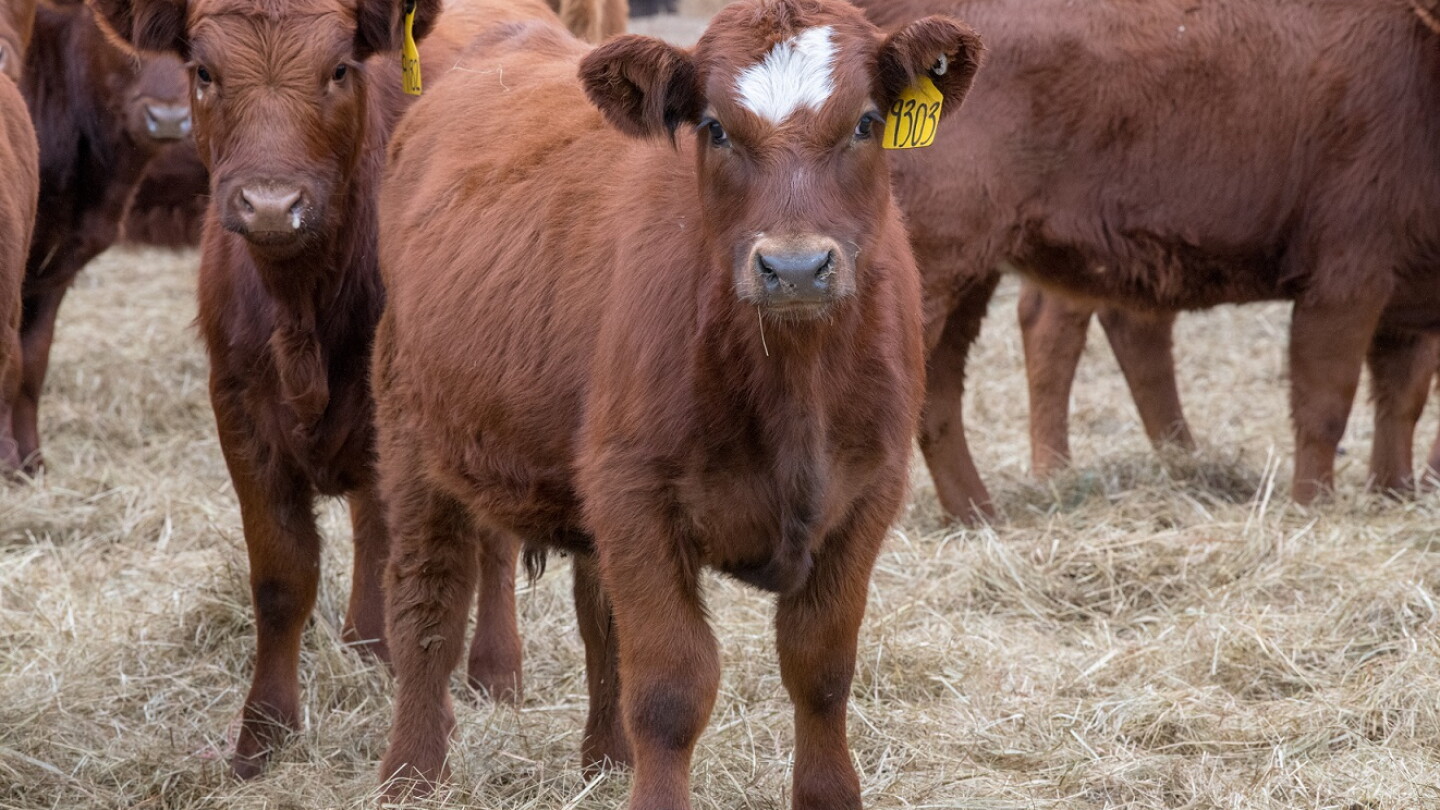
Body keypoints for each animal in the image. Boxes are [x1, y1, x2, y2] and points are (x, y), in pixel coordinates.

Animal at [369, 0, 982, 806]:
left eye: (866, 122)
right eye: (715, 128)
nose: (794, 268)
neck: (794, 382)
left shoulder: (868, 495)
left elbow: (820, 670)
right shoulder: (637, 496)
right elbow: (669, 686)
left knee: (599, 618)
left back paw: (606, 760)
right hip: (413, 438)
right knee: (426, 604)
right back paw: (411, 772)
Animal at [855, 0, 1440, 523]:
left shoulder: (1406, 302)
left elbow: (1401, 401)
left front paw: (1394, 491)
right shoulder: (1343, 284)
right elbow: (1325, 406)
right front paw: (1312, 507)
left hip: (971, 277)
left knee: (945, 390)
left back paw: (980, 515)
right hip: (940, 272)